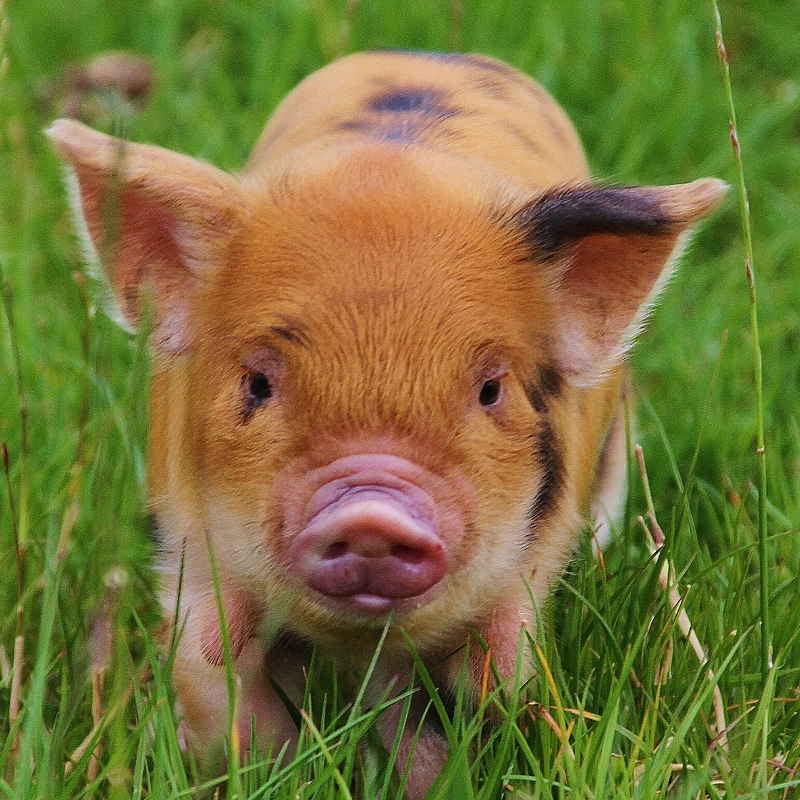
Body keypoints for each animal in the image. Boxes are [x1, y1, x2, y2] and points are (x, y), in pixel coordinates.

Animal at [47, 50, 726, 797]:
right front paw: (255, 771)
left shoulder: (522, 575)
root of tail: (433, 55)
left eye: (491, 390)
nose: (371, 511)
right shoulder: (187, 549)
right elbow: (213, 674)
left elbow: (473, 693)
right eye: (257, 384)